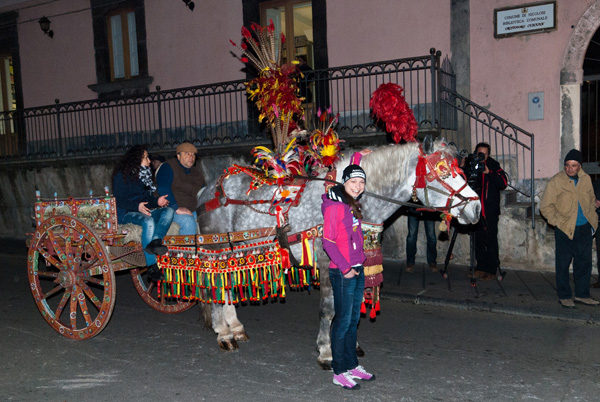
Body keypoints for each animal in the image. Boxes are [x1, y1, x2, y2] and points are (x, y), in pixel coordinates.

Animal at [196, 137, 478, 370]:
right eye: (442, 171)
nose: (476, 208)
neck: (348, 201)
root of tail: (208, 190)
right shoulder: (327, 262)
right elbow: (329, 309)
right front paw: (326, 352)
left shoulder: (357, 265)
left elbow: (351, 306)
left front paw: (350, 345)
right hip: (217, 250)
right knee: (215, 285)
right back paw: (223, 333)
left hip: (235, 251)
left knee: (226, 285)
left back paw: (235, 328)